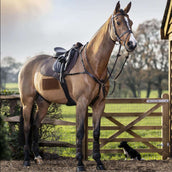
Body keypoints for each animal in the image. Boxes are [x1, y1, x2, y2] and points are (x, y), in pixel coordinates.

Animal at [18, 1, 137, 171]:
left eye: (131, 22)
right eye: (119, 22)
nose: (132, 44)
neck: (92, 64)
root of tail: (26, 64)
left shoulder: (99, 104)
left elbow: (96, 133)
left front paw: (99, 162)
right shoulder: (82, 103)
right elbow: (80, 132)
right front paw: (80, 164)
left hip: (43, 103)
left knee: (36, 125)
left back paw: (38, 158)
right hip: (27, 102)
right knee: (28, 127)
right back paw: (27, 160)